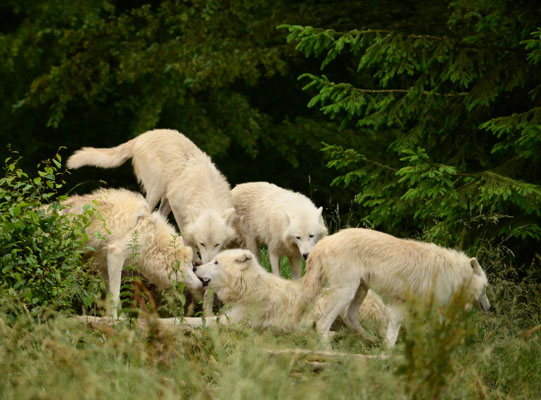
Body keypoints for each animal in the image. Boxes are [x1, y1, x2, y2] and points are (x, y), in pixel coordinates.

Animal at [56, 188, 202, 318]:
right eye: (191, 267)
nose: (203, 283)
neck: (152, 235)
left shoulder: (104, 264)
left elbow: (111, 294)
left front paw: (121, 318)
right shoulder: (115, 254)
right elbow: (116, 294)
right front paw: (115, 319)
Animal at [65, 130, 234, 264]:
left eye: (217, 244)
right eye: (202, 243)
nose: (209, 264)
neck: (208, 192)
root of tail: (142, 136)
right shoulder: (178, 206)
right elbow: (186, 234)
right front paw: (193, 258)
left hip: (165, 196)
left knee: (159, 215)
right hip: (156, 191)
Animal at [304, 228, 490, 346]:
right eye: (485, 288)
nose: (489, 307)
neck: (454, 275)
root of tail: (322, 243)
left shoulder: (400, 304)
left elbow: (393, 335)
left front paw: (387, 353)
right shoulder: (431, 310)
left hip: (361, 290)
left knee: (351, 318)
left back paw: (371, 340)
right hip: (346, 293)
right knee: (322, 325)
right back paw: (328, 352)